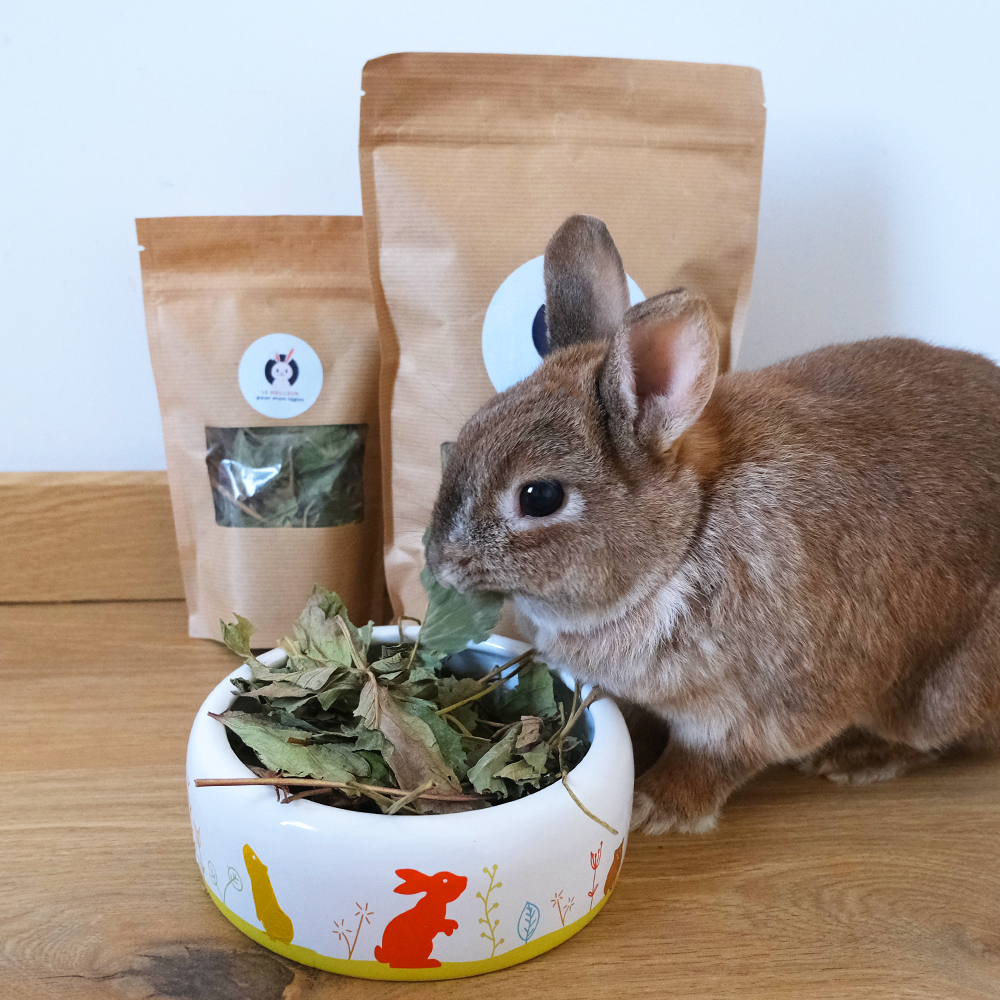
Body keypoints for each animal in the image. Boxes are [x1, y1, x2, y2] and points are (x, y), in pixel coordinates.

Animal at [424, 213, 1000, 836]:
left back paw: (857, 758)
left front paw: (652, 806)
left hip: (940, 693)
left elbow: (712, 760)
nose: (439, 563)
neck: (685, 539)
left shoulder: (756, 709)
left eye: (539, 497)